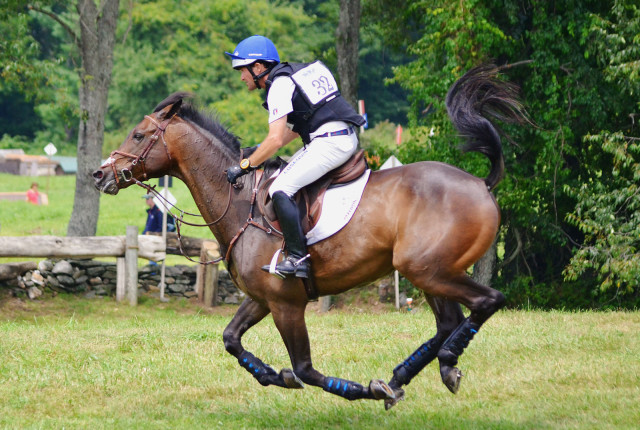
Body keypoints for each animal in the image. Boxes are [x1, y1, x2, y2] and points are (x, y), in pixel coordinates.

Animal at [92, 64, 528, 410]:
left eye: (137, 135)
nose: (99, 175)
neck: (240, 203)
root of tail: (480, 184)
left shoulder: (287, 303)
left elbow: (305, 369)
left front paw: (358, 390)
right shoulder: (262, 299)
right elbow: (231, 339)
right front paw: (273, 375)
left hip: (428, 269)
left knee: (486, 302)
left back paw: (439, 365)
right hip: (426, 272)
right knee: (448, 322)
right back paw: (405, 376)